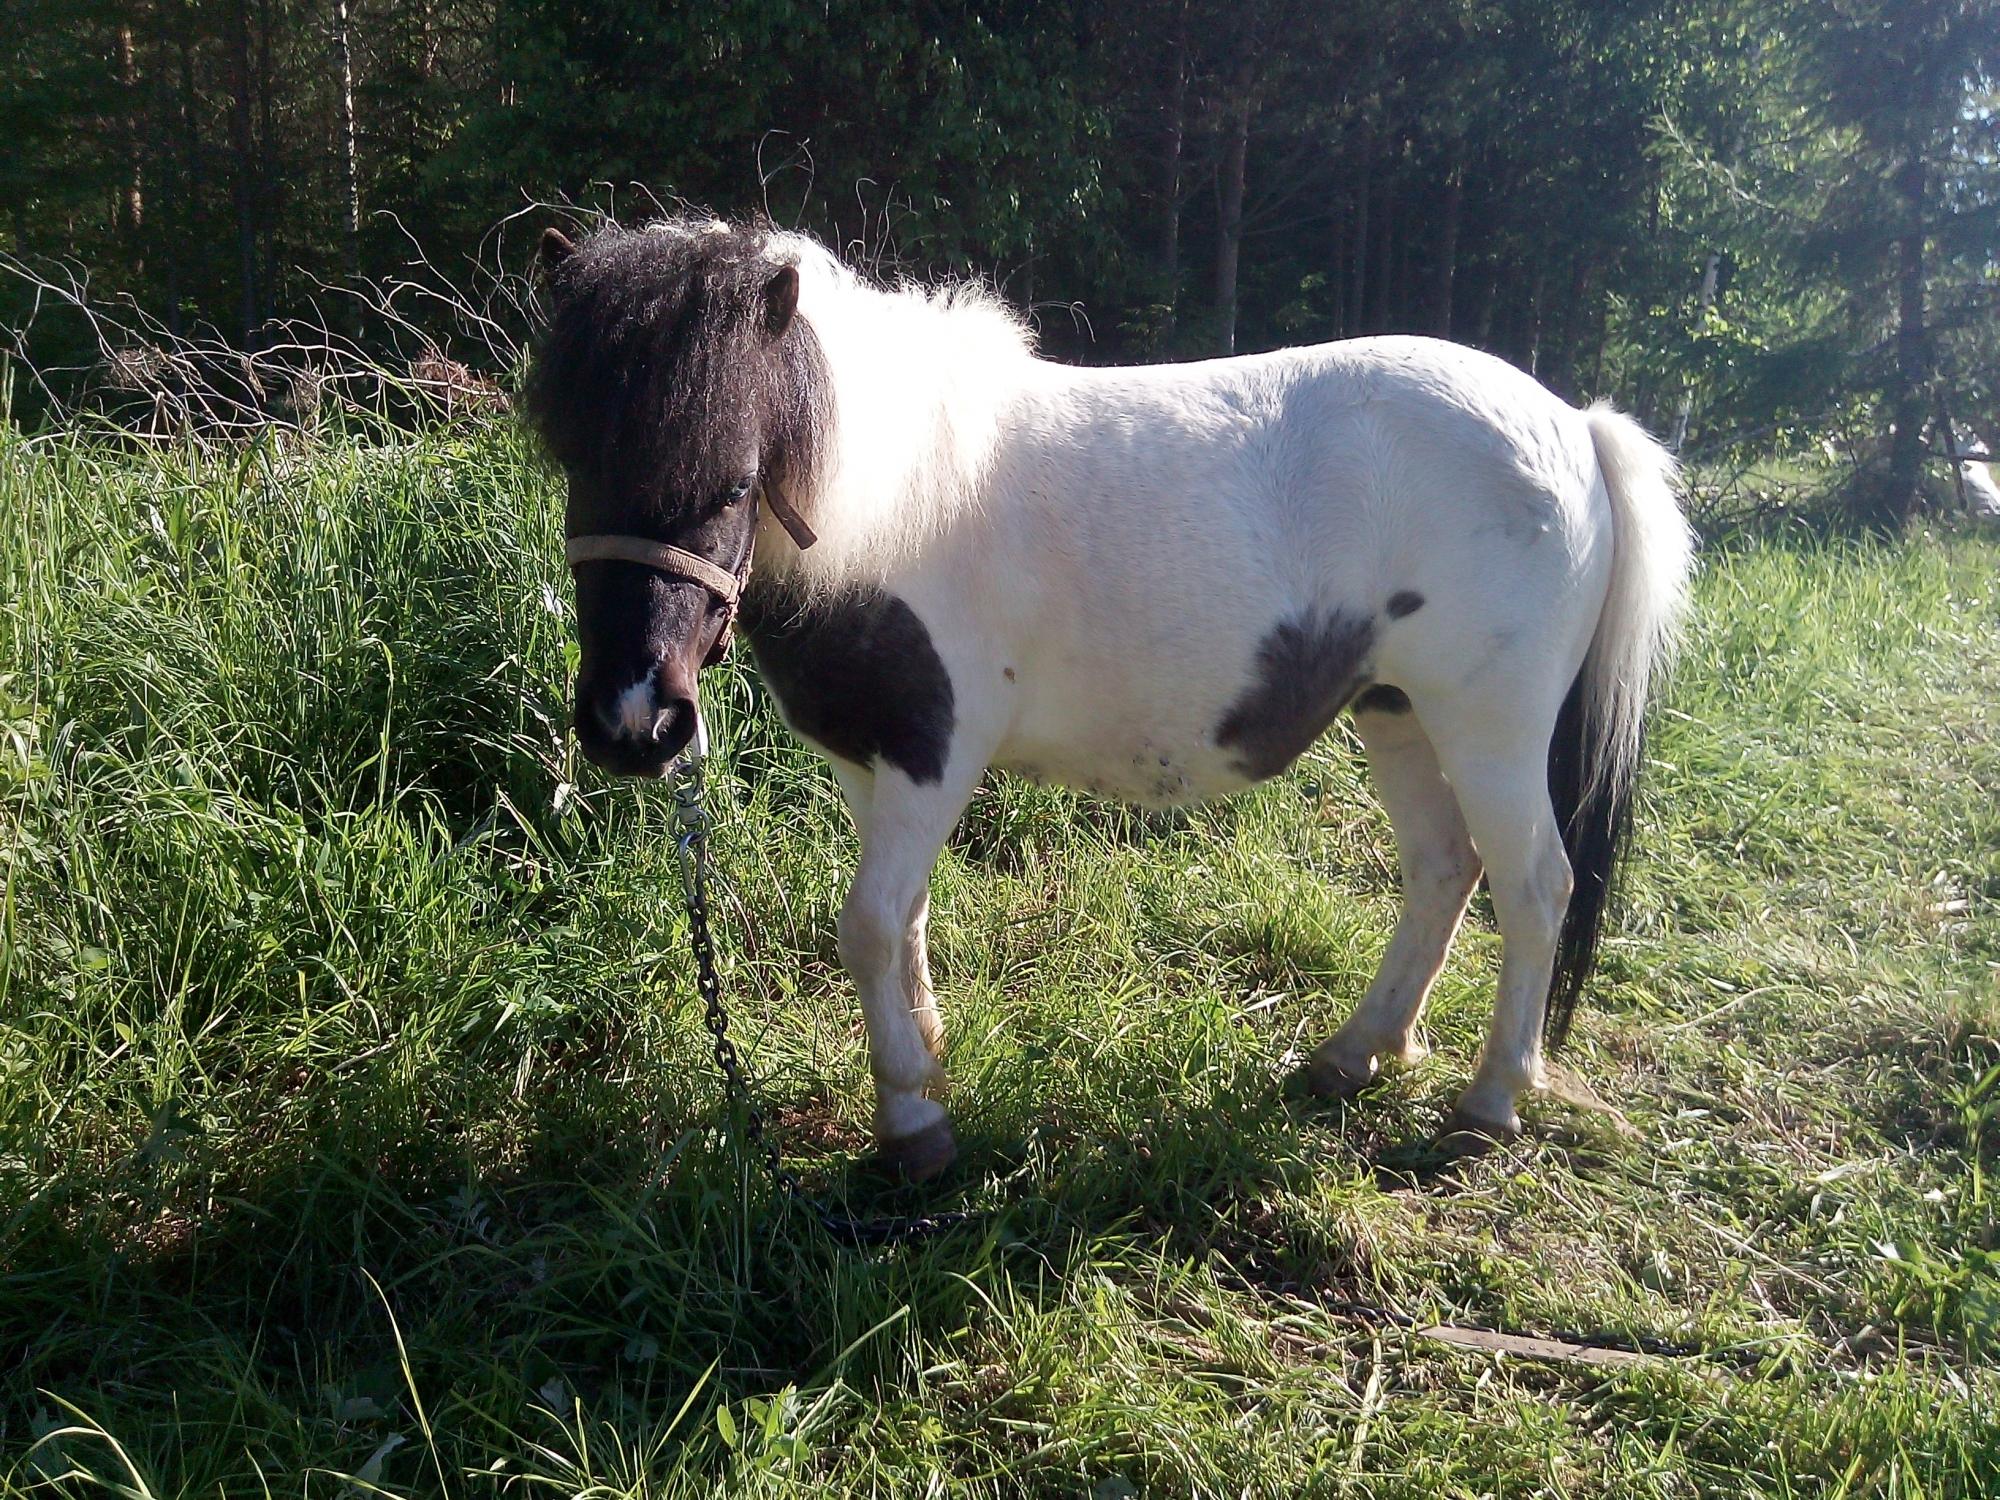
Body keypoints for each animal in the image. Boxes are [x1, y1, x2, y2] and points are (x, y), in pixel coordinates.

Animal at [524, 217, 1696, 1184]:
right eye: (572, 463)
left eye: (732, 482)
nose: (632, 721)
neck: (897, 503)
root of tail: (1574, 425)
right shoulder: (871, 762)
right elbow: (904, 921)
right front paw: (928, 1060)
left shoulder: (931, 757)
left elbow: (865, 926)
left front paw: (911, 1129)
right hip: (1395, 710)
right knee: (1444, 869)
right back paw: (1349, 1058)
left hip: (1488, 729)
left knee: (1533, 887)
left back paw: (1486, 1107)